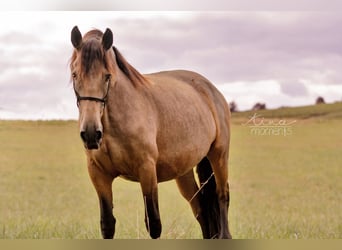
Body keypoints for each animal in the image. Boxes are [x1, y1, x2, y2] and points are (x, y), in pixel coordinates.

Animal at [69, 26, 232, 239]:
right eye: (75, 75)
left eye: (107, 76)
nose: (90, 134)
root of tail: (211, 89)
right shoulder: (98, 174)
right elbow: (107, 224)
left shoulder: (147, 171)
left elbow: (154, 224)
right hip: (184, 172)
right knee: (202, 210)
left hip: (218, 156)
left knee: (222, 196)